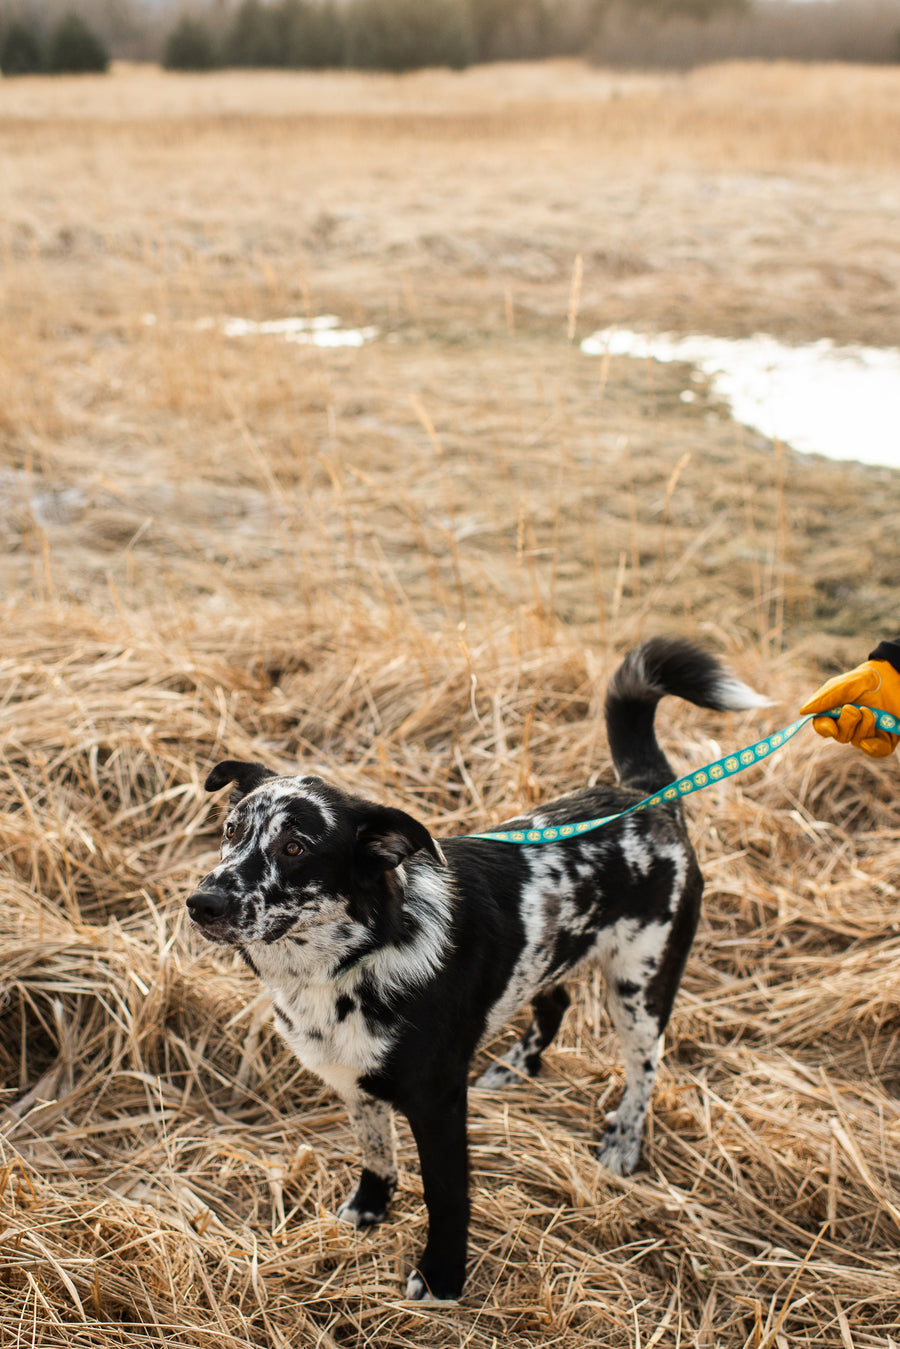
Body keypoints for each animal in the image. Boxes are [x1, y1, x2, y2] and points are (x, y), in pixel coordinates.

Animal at [188, 636, 766, 1300]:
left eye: (294, 847)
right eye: (230, 830)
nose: (201, 903)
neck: (354, 960)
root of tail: (646, 797)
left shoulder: (438, 1102)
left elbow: (446, 1195)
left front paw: (442, 1277)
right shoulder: (353, 1080)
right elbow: (375, 1153)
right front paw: (369, 1209)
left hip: (640, 988)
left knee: (645, 1069)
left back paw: (624, 1143)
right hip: (546, 957)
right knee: (556, 1003)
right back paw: (515, 1069)